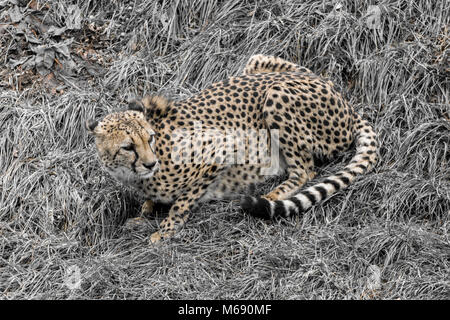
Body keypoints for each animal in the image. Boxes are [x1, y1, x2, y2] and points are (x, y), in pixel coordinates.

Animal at [86, 54, 378, 242]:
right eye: (128, 146)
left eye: (150, 138)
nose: (150, 163)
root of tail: (345, 101)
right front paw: (144, 214)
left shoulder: (222, 146)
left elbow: (182, 201)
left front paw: (165, 230)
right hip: (257, 61)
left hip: (277, 95)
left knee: (305, 170)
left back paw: (272, 195)